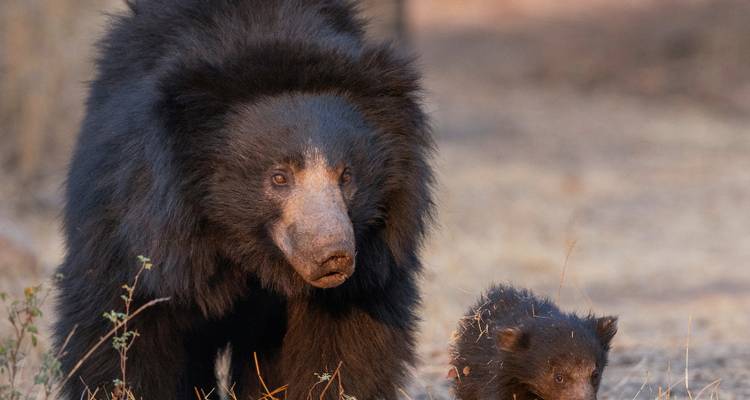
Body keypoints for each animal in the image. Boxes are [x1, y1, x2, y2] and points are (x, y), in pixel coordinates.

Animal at [52, 1, 433, 399]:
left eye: (346, 175)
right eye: (279, 177)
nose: (334, 256)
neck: (248, 248)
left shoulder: (372, 261)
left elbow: (348, 341)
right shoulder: (141, 226)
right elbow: (127, 324)